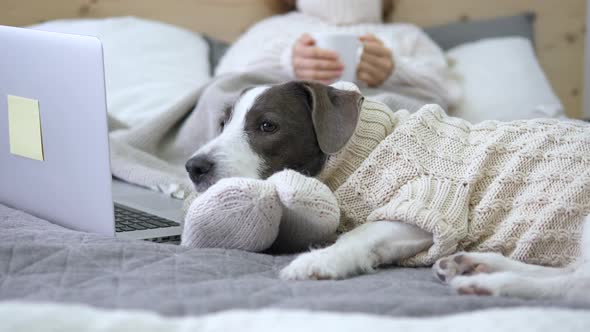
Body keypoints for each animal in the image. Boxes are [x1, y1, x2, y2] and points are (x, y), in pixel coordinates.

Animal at [186, 81, 590, 300]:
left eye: (267, 126)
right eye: (222, 123)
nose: (193, 167)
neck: (361, 148)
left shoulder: (430, 202)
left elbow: (358, 235)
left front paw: (322, 259)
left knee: (576, 287)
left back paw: (492, 284)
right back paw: (478, 265)